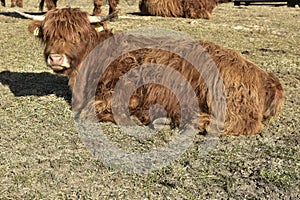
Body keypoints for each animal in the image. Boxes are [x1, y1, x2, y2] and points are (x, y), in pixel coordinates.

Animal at [16, 8, 284, 136]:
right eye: (48, 33)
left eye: (78, 34)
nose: (55, 57)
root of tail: (265, 76)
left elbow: (91, 110)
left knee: (242, 124)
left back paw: (191, 121)